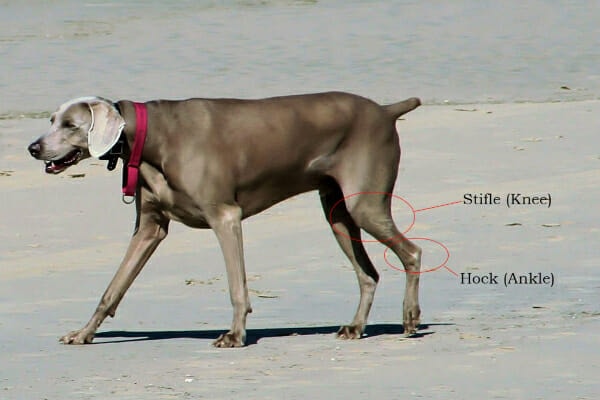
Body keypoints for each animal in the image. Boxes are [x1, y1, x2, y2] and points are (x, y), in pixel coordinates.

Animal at [28, 93, 422, 346]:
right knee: (368, 273)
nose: (33, 147)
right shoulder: (149, 229)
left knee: (412, 252)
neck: (152, 137)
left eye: (70, 124)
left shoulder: (225, 217)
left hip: (363, 205)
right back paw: (355, 327)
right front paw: (84, 333)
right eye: (51, 121)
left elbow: (236, 286)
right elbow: (113, 288)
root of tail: (385, 111)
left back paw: (410, 318)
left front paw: (235, 335)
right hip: (337, 212)